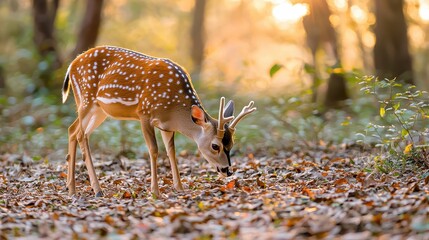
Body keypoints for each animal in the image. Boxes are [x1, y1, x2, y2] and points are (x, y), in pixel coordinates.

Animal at [62, 46, 256, 197]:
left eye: (231, 144)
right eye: (215, 146)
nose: (227, 170)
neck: (174, 107)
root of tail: (71, 65)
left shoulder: (166, 126)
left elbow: (171, 152)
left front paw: (179, 187)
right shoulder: (144, 113)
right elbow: (154, 150)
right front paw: (155, 191)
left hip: (99, 110)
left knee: (73, 130)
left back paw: (71, 189)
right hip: (86, 99)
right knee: (80, 134)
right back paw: (96, 189)